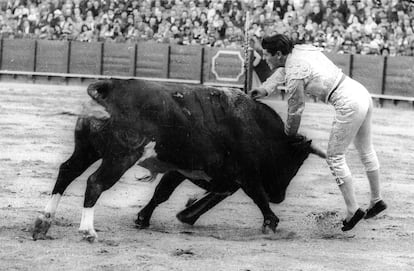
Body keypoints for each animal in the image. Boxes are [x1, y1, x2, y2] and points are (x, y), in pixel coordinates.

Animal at [33, 79, 324, 242]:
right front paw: (271, 223)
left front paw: (145, 218)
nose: (280, 197)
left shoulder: (182, 169)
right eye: (295, 163)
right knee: (94, 182)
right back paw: (87, 232)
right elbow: (258, 197)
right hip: (120, 157)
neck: (257, 127)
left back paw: (43, 223)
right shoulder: (246, 174)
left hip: (87, 149)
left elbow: (163, 192)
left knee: (66, 172)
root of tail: (110, 89)